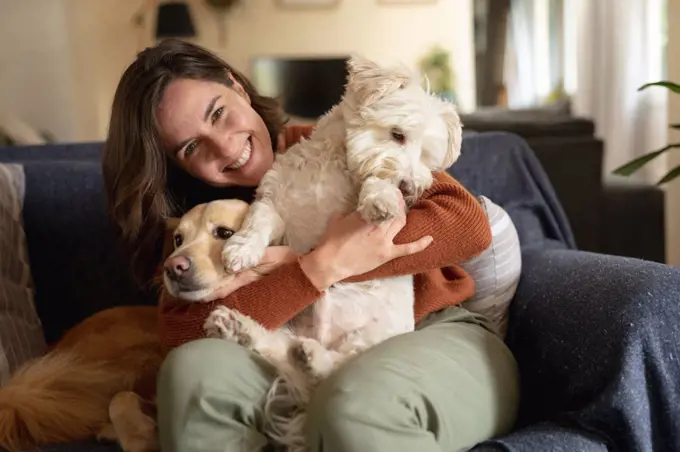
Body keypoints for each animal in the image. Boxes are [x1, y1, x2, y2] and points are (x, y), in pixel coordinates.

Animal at [205, 56, 464, 452]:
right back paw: (241, 330)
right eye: (397, 134)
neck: (332, 170)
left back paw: (312, 358)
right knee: (277, 348)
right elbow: (257, 222)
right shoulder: (274, 202)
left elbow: (374, 187)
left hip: (370, 338)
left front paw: (383, 200)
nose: (409, 187)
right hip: (290, 328)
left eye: (426, 157)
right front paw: (241, 250)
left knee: (335, 366)